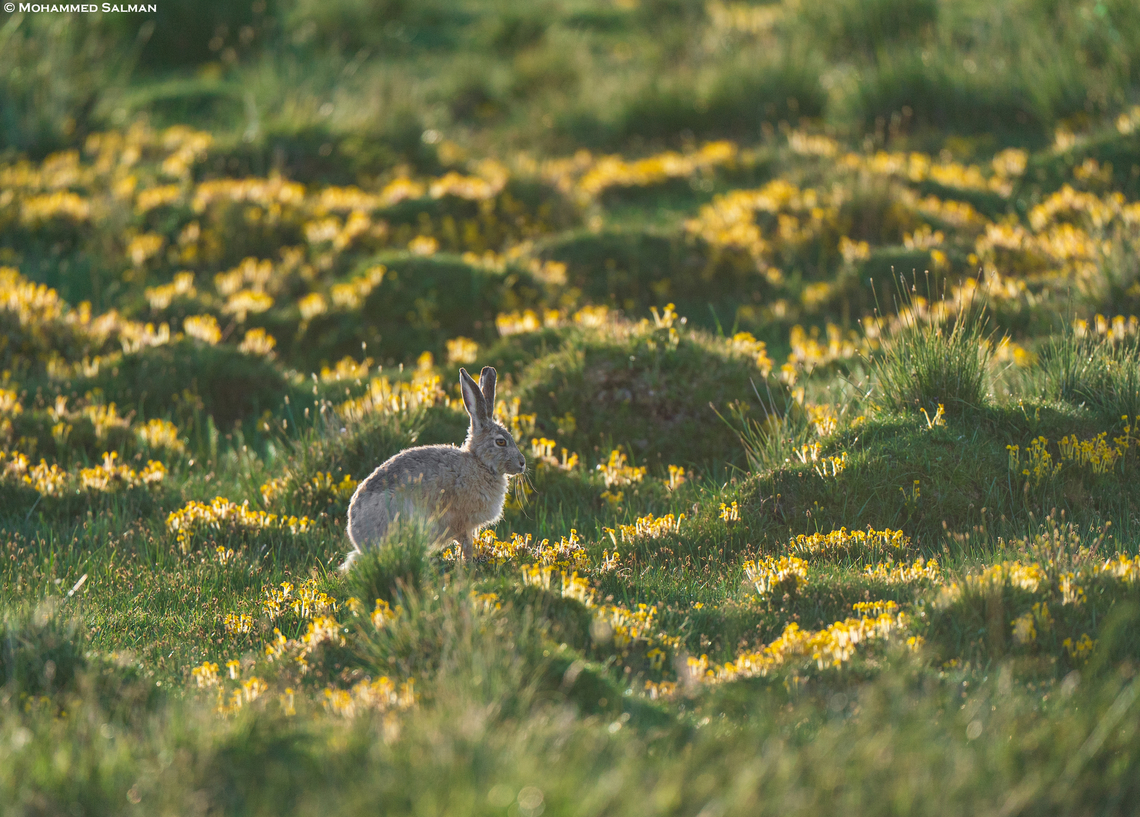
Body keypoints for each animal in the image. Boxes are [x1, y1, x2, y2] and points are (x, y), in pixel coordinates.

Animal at [341, 365, 526, 570]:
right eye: (501, 442)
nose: (522, 463)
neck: (480, 463)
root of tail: (356, 534)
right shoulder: (460, 522)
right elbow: (466, 545)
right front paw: (469, 566)